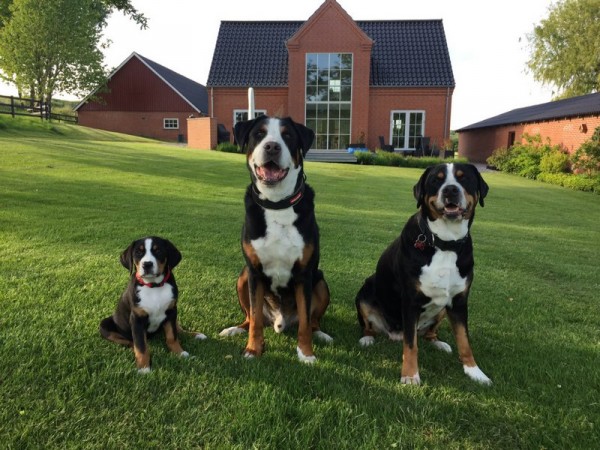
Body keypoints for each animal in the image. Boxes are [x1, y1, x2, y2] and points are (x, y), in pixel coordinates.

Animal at [99, 236, 205, 372]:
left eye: (158, 251)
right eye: (138, 252)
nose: (147, 264)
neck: (154, 286)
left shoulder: (171, 311)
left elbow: (172, 336)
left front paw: (180, 353)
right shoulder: (137, 319)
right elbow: (141, 346)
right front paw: (144, 368)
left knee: (178, 329)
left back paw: (196, 335)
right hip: (104, 325)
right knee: (131, 342)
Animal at [219, 116, 332, 362]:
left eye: (287, 135)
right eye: (259, 134)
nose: (272, 146)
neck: (277, 204)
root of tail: (280, 322)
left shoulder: (304, 274)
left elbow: (305, 324)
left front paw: (306, 354)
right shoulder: (254, 272)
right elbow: (255, 322)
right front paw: (253, 349)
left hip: (320, 281)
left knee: (313, 321)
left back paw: (321, 335)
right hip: (243, 277)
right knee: (251, 318)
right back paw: (235, 329)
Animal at [354, 163, 490, 384]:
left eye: (463, 178)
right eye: (436, 179)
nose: (450, 190)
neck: (444, 243)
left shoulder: (459, 301)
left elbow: (464, 340)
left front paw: (475, 372)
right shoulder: (411, 301)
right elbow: (411, 345)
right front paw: (410, 375)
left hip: (442, 307)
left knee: (429, 333)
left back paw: (439, 343)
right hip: (365, 292)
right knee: (370, 325)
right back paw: (367, 338)